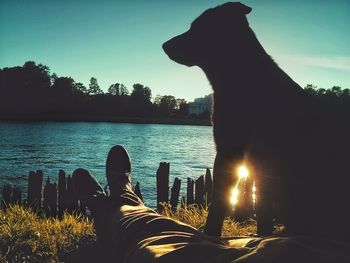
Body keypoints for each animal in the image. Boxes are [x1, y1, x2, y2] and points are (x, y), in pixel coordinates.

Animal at [163, 1, 348, 239]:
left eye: (197, 27)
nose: (164, 45)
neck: (243, 77)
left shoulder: (232, 151)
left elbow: (224, 203)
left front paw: (212, 234)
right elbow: (258, 207)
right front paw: (261, 235)